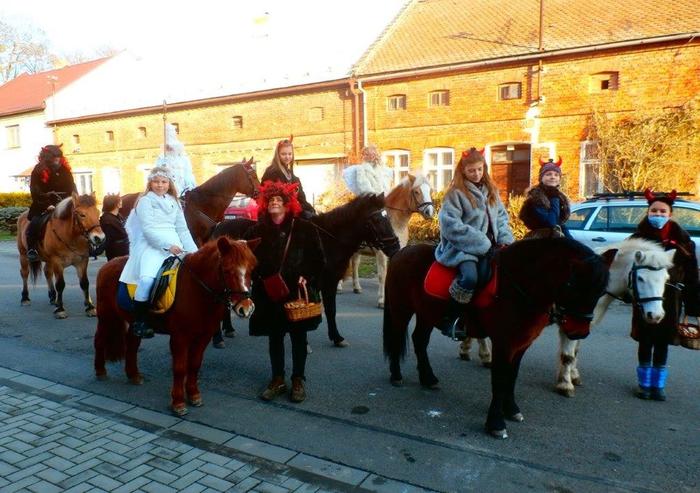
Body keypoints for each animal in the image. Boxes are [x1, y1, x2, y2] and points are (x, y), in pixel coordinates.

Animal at [93, 237, 259, 416]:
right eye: (227, 270)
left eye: (251, 269)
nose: (246, 308)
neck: (196, 289)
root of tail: (107, 265)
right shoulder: (180, 337)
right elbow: (180, 368)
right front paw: (178, 403)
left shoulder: (204, 336)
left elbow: (194, 364)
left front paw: (194, 395)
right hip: (106, 316)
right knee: (99, 341)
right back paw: (100, 371)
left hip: (133, 323)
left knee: (132, 344)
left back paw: (134, 376)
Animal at [212, 193, 401, 346]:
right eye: (376, 220)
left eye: (387, 218)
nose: (395, 247)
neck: (328, 241)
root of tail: (218, 227)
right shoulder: (324, 283)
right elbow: (327, 310)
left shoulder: (324, 283)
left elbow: (325, 310)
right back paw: (218, 338)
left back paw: (228, 329)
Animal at [341, 174, 434, 308]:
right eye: (416, 192)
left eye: (430, 190)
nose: (429, 212)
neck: (393, 221)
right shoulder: (381, 253)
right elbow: (382, 275)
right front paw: (382, 300)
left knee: (355, 263)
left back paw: (357, 287)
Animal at [383, 238, 609, 439]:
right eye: (572, 284)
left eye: (601, 290)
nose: (579, 332)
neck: (518, 286)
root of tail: (401, 252)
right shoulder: (503, 343)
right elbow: (499, 380)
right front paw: (496, 423)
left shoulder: (521, 344)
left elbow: (511, 377)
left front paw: (511, 409)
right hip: (402, 310)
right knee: (397, 338)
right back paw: (396, 376)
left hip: (426, 314)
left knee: (419, 340)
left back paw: (428, 379)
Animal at [555, 238, 675, 397]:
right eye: (641, 278)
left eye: (666, 279)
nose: (655, 315)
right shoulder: (570, 322)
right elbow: (568, 355)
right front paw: (565, 384)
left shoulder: (581, 325)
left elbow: (575, 351)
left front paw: (573, 375)